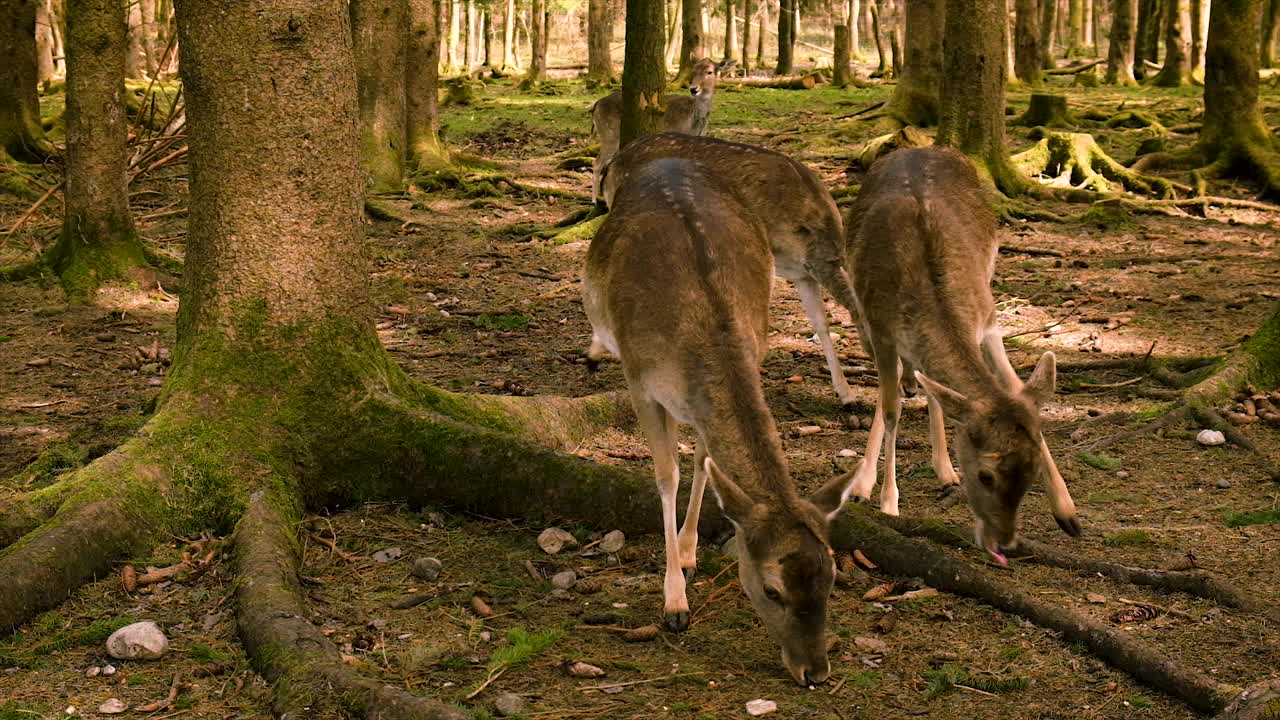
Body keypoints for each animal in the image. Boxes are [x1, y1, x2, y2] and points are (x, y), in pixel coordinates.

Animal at [586, 156, 855, 681]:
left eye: (833, 577)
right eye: (772, 590)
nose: (815, 672)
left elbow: (704, 462)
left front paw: (689, 552)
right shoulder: (640, 381)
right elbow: (666, 475)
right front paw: (674, 603)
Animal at [588, 57, 732, 204]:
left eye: (709, 72)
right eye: (694, 71)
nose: (693, 89)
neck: (695, 124)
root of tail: (596, 106)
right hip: (609, 134)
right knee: (597, 163)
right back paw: (594, 200)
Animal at [844, 146, 1085, 561]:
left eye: (1033, 470)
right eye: (986, 476)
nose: (1006, 543)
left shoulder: (986, 319)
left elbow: (1014, 388)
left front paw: (1068, 512)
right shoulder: (880, 328)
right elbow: (891, 411)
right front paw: (889, 501)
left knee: (927, 383)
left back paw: (943, 468)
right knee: (893, 390)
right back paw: (863, 483)